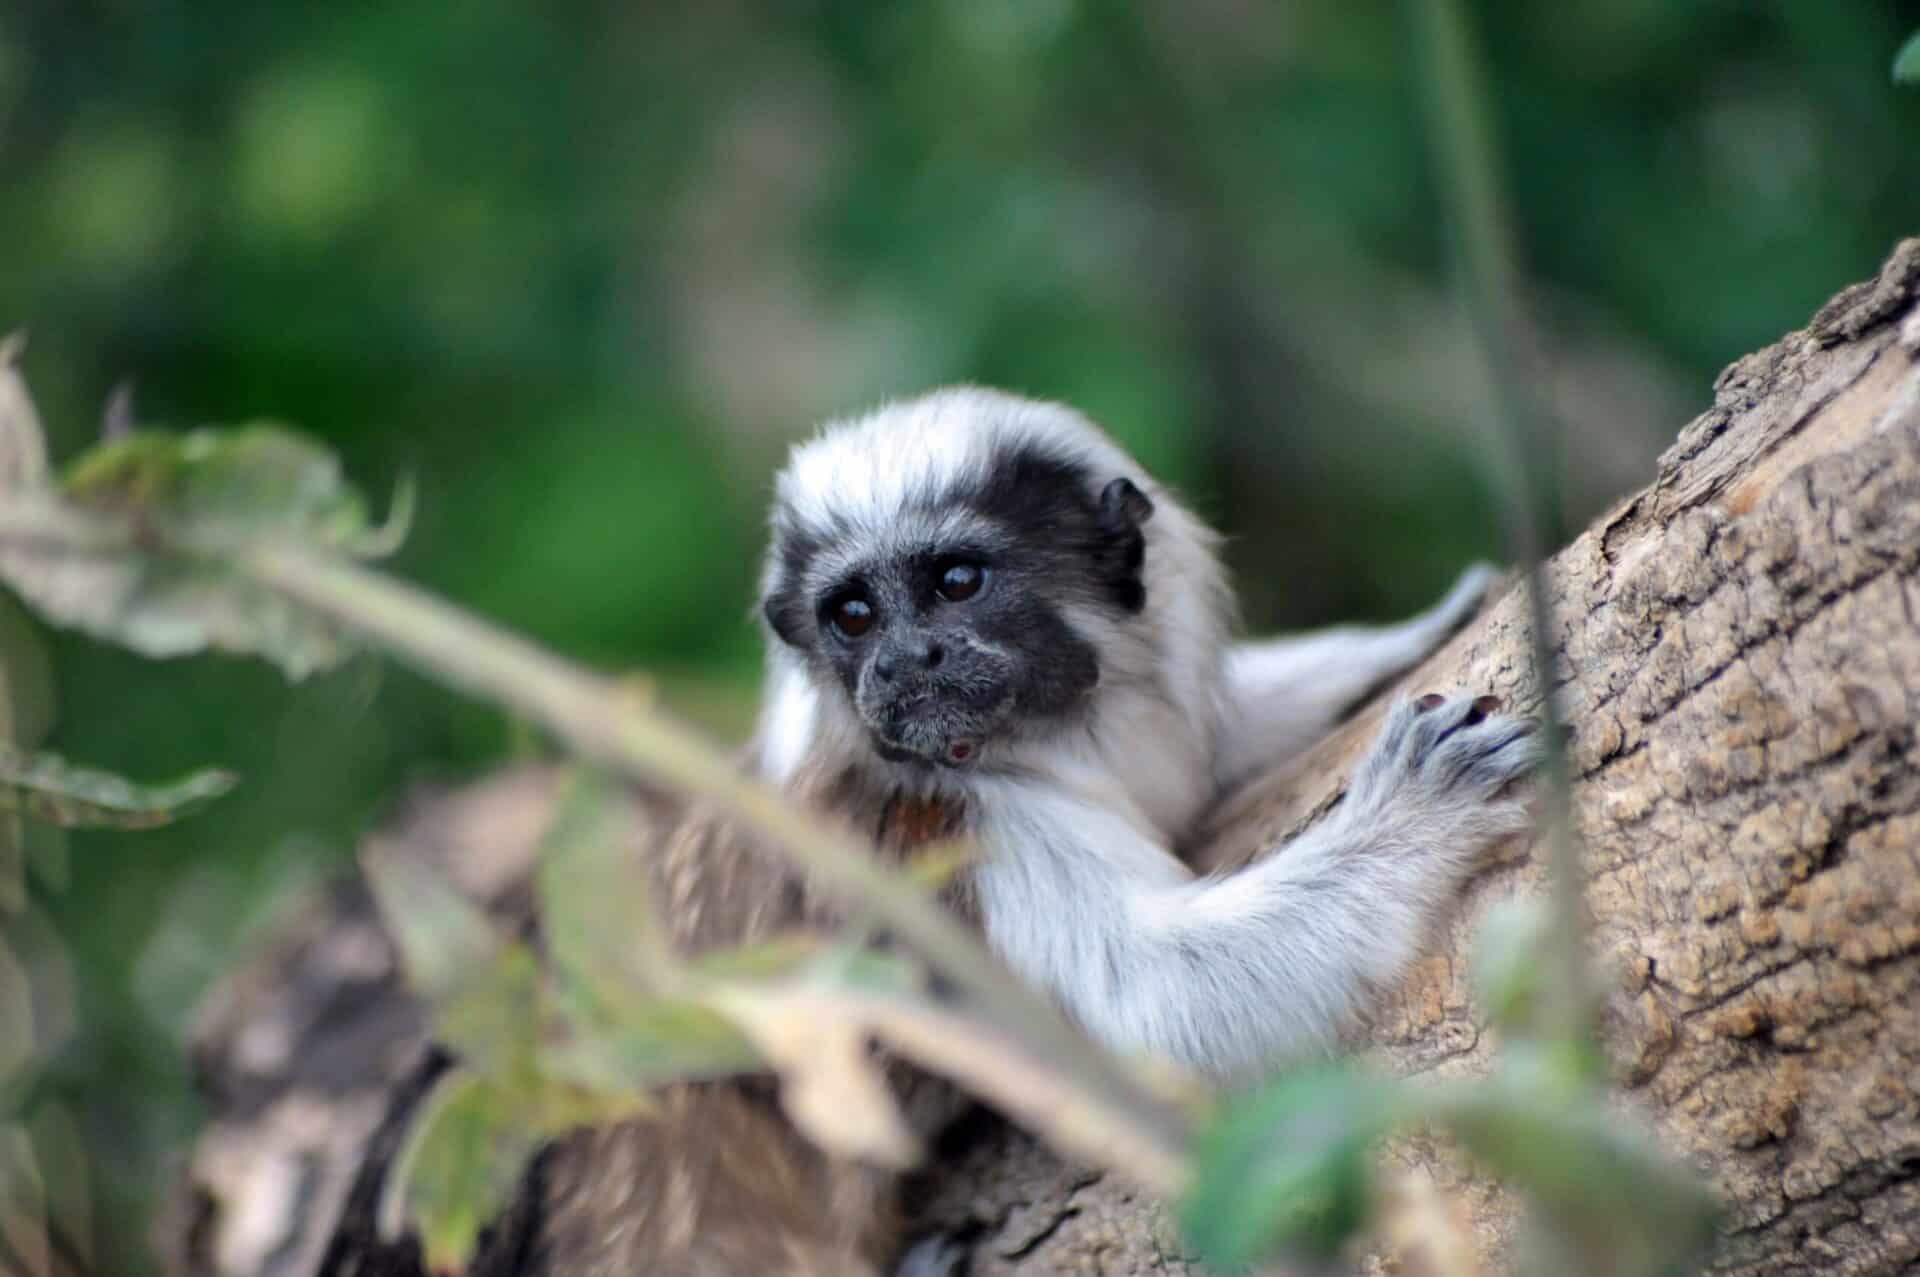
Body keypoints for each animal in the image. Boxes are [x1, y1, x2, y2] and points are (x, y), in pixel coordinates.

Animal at [522, 385, 1528, 1275]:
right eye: (854, 615)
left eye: (957, 582)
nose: (904, 661)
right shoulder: (956, 833)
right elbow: (1160, 999)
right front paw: (1413, 808)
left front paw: (1414, 631)